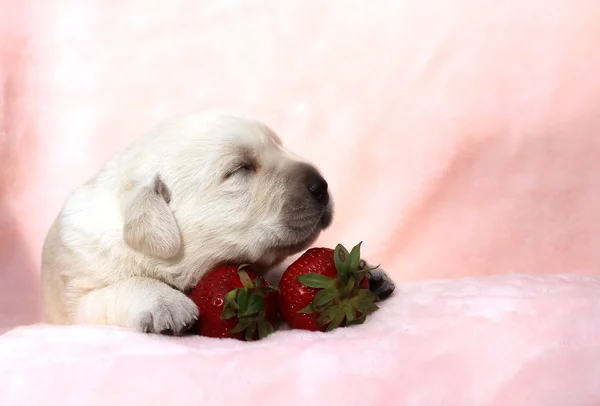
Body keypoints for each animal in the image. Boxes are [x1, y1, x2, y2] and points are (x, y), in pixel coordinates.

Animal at [41, 109, 394, 334]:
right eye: (239, 169)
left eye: (279, 145)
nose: (321, 186)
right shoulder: (77, 301)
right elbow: (122, 287)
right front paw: (165, 302)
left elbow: (281, 272)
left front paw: (366, 274)